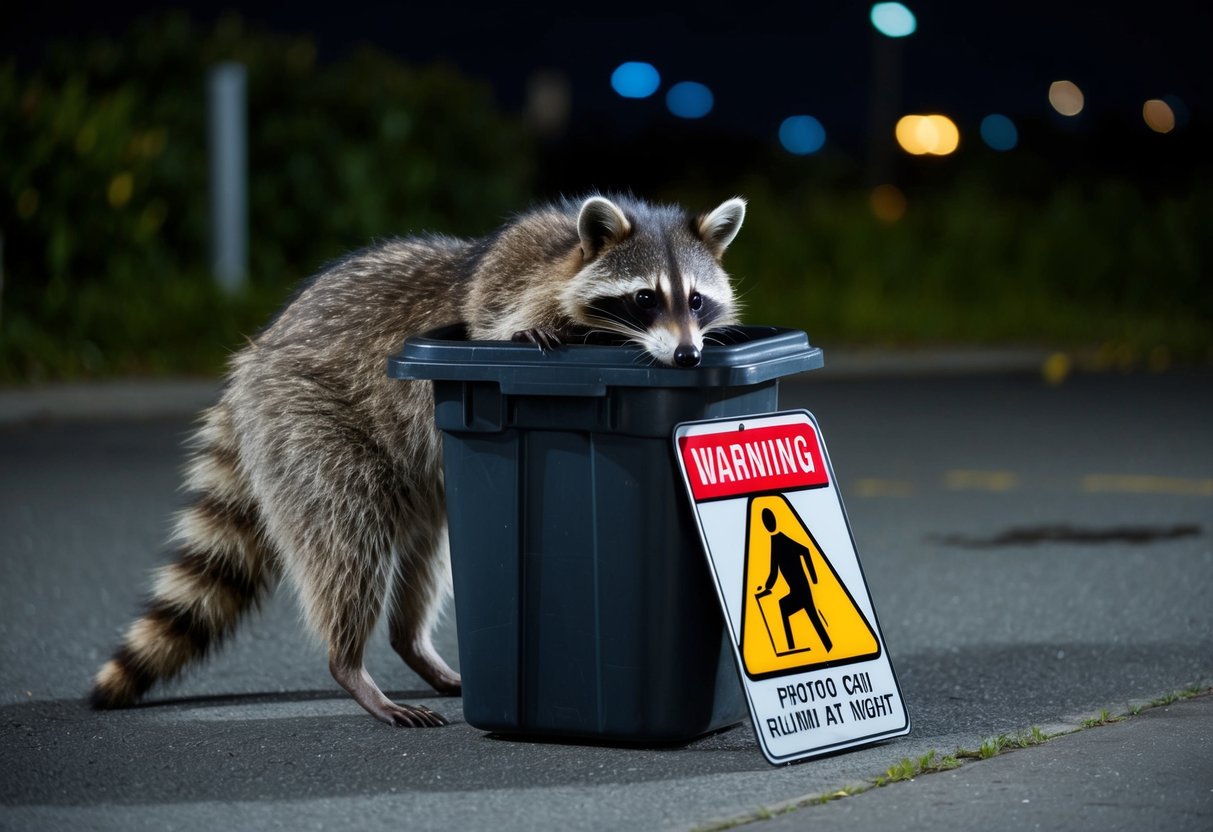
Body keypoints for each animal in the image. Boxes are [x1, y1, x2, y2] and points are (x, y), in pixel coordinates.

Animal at [89, 194, 746, 726]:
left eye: (695, 299)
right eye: (644, 298)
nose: (688, 358)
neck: (572, 256)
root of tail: (254, 355)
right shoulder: (511, 285)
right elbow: (503, 323)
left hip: (421, 484)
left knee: (425, 554)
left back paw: (411, 644)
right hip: (305, 423)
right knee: (348, 538)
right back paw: (349, 663)